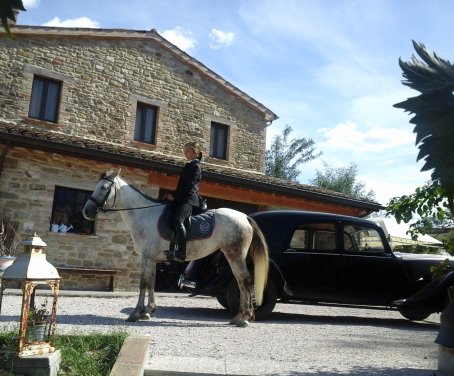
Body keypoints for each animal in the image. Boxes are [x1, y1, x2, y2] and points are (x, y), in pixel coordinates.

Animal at [82, 170, 268, 326]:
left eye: (103, 187)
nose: (87, 211)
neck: (144, 215)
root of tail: (244, 217)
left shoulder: (147, 257)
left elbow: (143, 284)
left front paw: (136, 313)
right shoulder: (152, 259)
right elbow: (151, 283)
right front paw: (148, 311)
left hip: (235, 255)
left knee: (245, 281)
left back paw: (244, 318)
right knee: (241, 282)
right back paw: (239, 317)